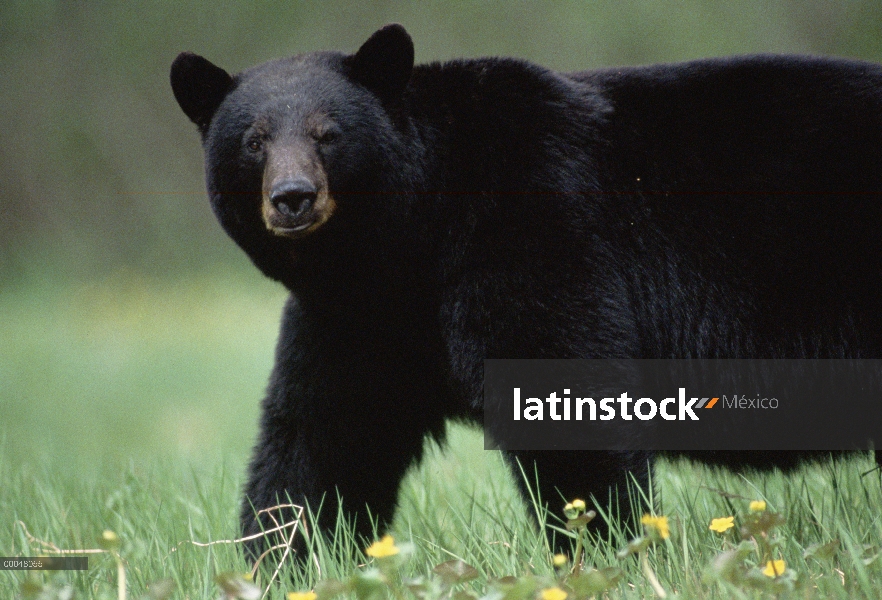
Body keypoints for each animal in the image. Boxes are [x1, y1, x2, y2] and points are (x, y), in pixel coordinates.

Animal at [170, 24, 880, 552]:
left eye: (329, 133)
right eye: (254, 141)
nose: (293, 197)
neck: (415, 234)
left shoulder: (533, 221)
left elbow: (563, 385)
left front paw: (604, 548)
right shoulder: (361, 312)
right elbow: (323, 435)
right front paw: (285, 559)